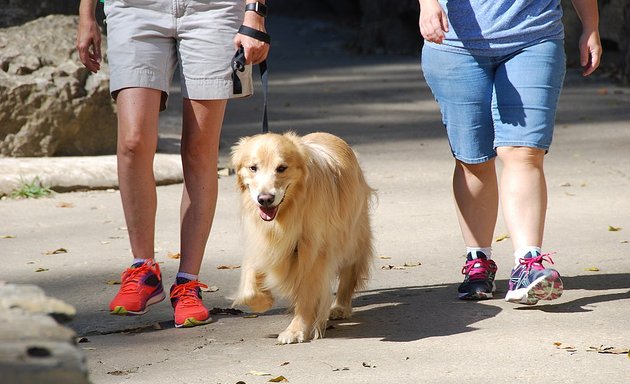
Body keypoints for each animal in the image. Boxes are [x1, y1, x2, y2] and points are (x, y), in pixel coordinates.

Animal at [235, 131, 378, 342]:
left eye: (282, 168)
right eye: (253, 168)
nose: (265, 199)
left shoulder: (314, 252)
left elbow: (307, 293)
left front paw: (296, 330)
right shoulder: (260, 240)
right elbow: (249, 288)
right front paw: (263, 300)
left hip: (351, 237)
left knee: (350, 270)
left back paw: (340, 306)